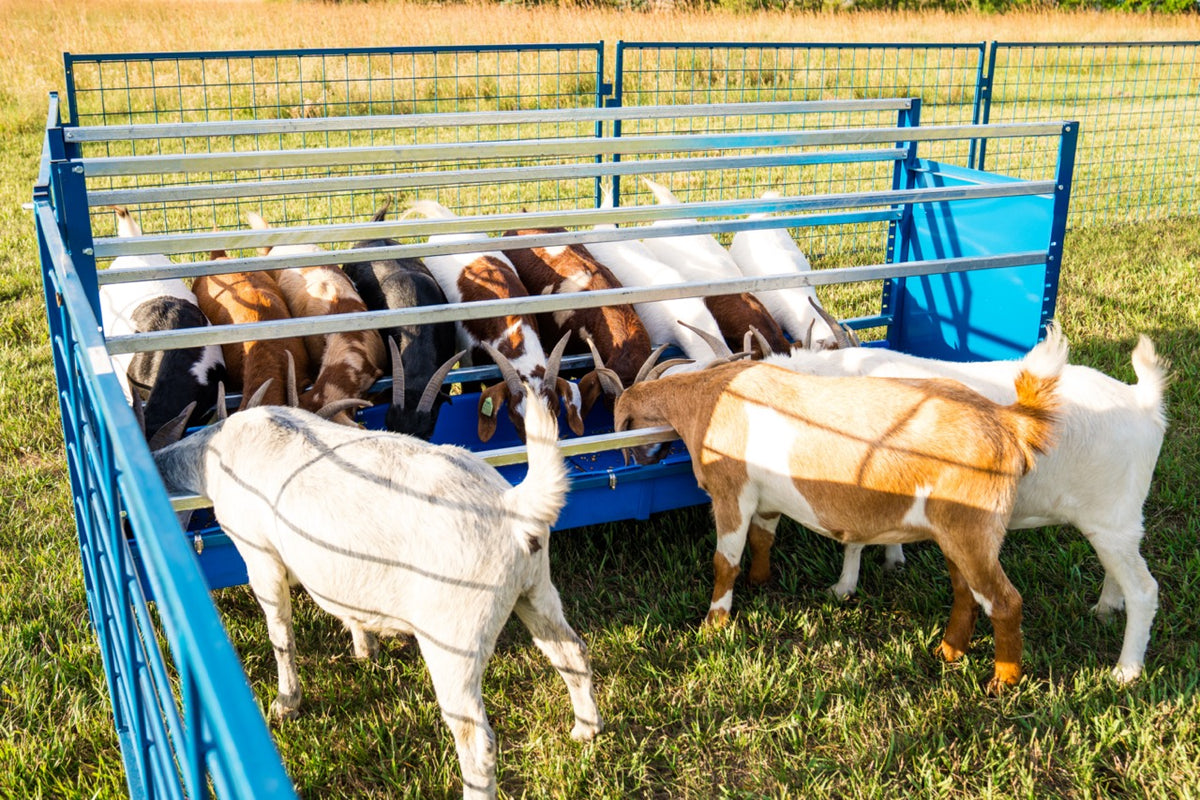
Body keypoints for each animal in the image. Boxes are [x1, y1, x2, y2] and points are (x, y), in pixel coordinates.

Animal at [151, 378, 602, 799]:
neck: (216, 450)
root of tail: (515, 507)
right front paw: (364, 646)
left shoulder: (259, 556)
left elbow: (280, 633)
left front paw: (286, 702)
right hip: (535, 588)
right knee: (571, 651)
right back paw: (586, 730)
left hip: (453, 633)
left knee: (477, 740)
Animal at [613, 341, 1066, 693]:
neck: (710, 395)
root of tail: (1009, 420)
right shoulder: (767, 499)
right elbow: (763, 538)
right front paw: (760, 581)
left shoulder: (731, 493)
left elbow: (724, 562)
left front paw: (714, 624)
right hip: (954, 533)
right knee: (965, 591)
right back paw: (949, 650)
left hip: (972, 528)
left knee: (1004, 601)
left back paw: (1003, 680)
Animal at [766, 320, 1166, 684]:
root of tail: (1143, 402)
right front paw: (890, 559)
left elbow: (854, 541)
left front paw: (844, 585)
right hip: (1112, 524)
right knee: (1119, 571)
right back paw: (1105, 608)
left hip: (1112, 519)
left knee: (1144, 590)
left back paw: (1126, 670)